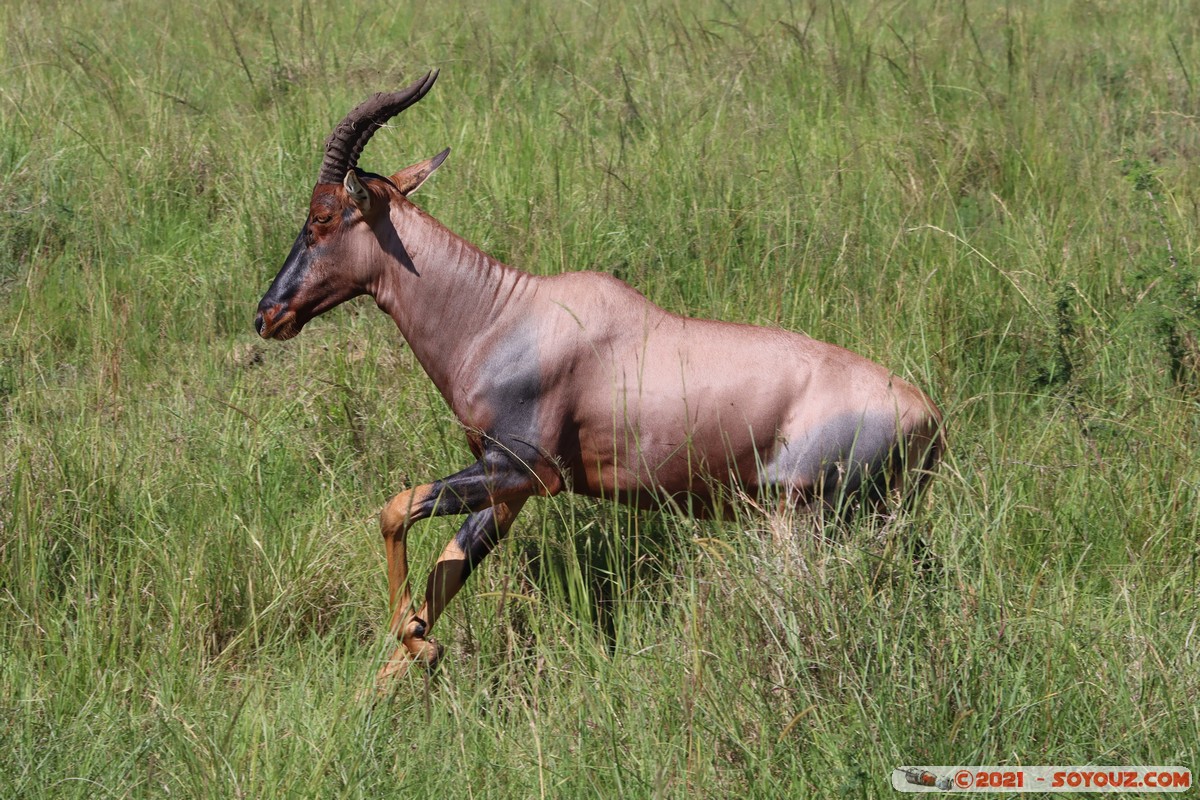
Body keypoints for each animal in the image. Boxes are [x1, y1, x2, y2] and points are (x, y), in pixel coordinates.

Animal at [255, 70, 945, 690]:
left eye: (321, 216)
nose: (267, 314)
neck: (506, 314)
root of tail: (927, 416)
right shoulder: (507, 491)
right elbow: (444, 577)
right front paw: (394, 675)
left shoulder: (526, 470)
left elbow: (395, 509)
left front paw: (419, 645)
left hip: (803, 520)